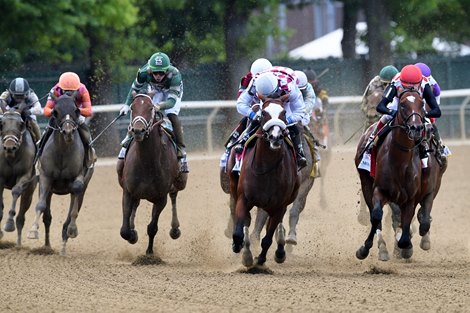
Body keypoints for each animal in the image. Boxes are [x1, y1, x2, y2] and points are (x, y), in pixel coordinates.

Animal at [0, 106, 37, 245]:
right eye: (1, 124)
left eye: (20, 124)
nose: (9, 147)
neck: (12, 157)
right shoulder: (0, 178)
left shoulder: (25, 176)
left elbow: (16, 191)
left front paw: (9, 224)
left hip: (30, 190)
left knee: (21, 217)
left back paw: (19, 243)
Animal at [116, 94, 186, 258]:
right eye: (132, 107)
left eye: (150, 108)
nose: (138, 131)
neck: (146, 162)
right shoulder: (128, 192)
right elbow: (124, 230)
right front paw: (132, 235)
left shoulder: (161, 198)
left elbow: (152, 227)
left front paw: (149, 253)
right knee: (135, 205)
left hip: (179, 182)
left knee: (174, 196)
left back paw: (175, 229)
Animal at [229, 94, 302, 266]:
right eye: (263, 113)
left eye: (283, 113)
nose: (275, 137)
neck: (266, 169)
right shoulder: (243, 198)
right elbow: (238, 232)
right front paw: (241, 249)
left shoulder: (279, 206)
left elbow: (267, 238)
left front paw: (261, 259)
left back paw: (280, 247)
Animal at [354, 89, 446, 258]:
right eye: (402, 105)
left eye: (422, 104)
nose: (416, 128)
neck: (400, 162)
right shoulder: (381, 190)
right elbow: (377, 215)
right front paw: (365, 248)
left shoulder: (417, 194)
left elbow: (415, 220)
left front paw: (407, 244)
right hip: (366, 183)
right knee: (375, 214)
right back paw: (382, 247)